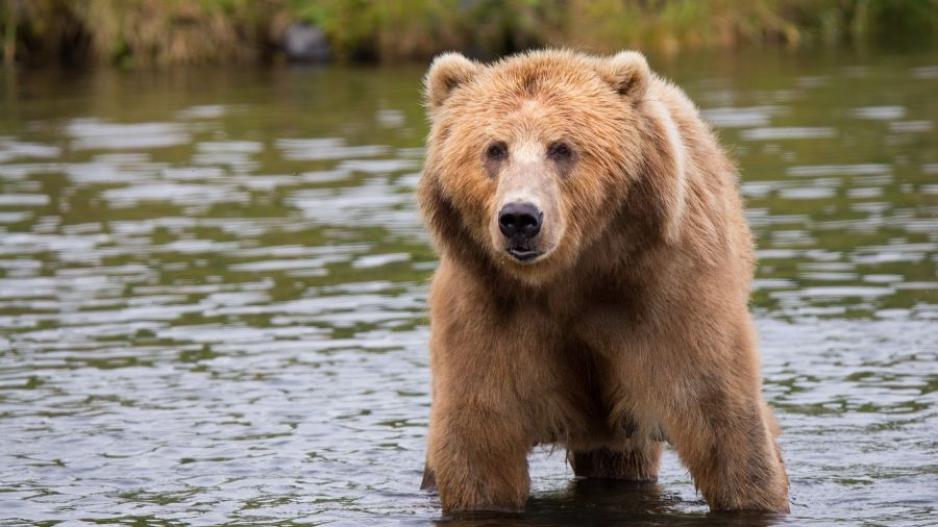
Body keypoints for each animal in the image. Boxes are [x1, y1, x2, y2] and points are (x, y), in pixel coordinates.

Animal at [414, 48, 788, 516]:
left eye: (562, 148)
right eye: (494, 149)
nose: (520, 218)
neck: (571, 275)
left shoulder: (667, 293)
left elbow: (722, 419)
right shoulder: (488, 308)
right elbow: (479, 440)